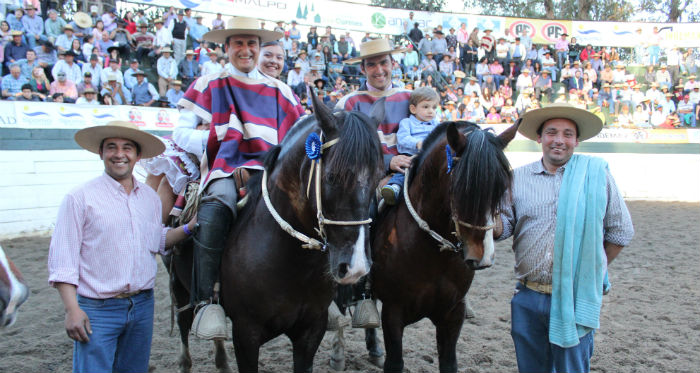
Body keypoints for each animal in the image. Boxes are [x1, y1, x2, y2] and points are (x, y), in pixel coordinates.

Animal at [165, 94, 382, 370]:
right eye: (332, 176)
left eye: (377, 178)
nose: (356, 267)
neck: (292, 263)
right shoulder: (246, 333)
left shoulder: (311, 330)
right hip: (179, 284)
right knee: (184, 323)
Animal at [372, 120, 520, 370]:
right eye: (462, 186)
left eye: (501, 188)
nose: (483, 256)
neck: (433, 254)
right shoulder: (392, 312)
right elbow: (395, 362)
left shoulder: (453, 313)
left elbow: (449, 363)